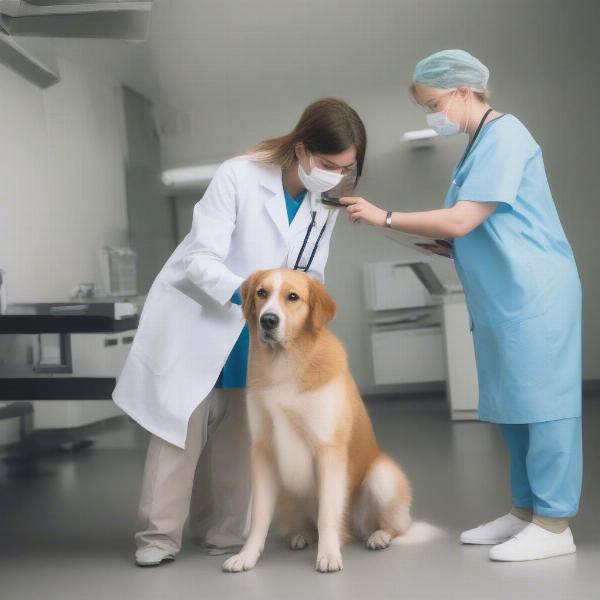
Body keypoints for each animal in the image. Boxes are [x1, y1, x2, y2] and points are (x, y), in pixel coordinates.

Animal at [223, 268, 414, 572]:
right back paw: (302, 535)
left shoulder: (328, 449)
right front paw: (247, 555)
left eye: (293, 297)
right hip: (286, 494)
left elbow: (327, 513)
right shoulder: (263, 451)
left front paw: (328, 554)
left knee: (397, 526)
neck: (284, 364)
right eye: (261, 293)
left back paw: (379, 536)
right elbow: (259, 517)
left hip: (381, 477)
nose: (268, 320)